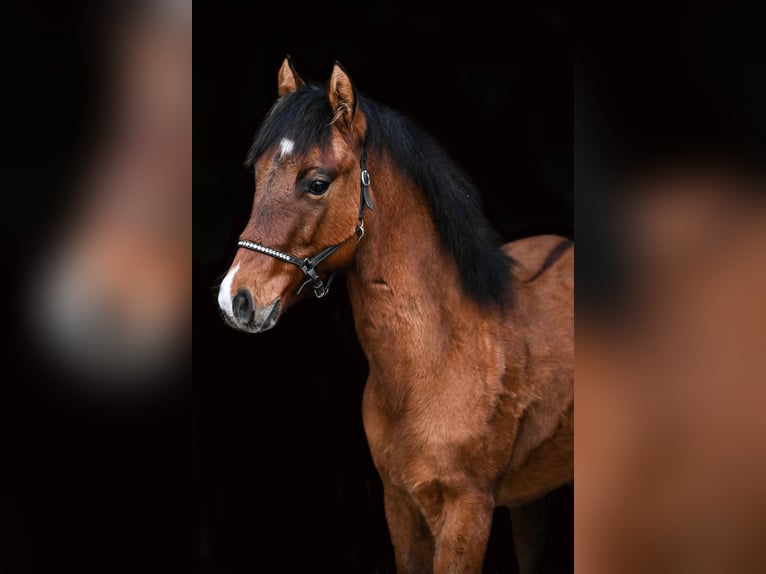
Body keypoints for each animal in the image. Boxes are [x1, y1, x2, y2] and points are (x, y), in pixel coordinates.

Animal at [217, 57, 573, 573]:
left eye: (317, 183)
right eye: (259, 174)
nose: (235, 299)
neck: (436, 359)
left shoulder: (468, 512)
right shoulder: (400, 506)